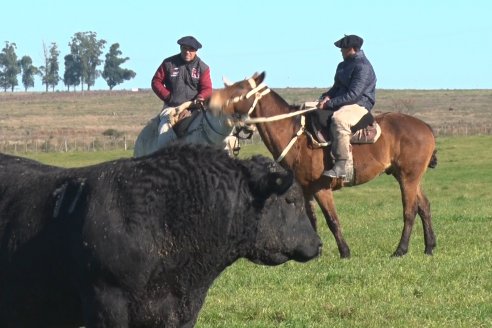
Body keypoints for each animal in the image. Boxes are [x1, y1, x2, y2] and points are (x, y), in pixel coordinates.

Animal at [209, 72, 438, 258]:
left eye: (240, 91)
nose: (216, 106)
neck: (294, 134)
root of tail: (425, 127)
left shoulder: (321, 189)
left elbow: (332, 220)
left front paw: (344, 252)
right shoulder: (306, 189)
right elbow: (312, 220)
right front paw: (315, 252)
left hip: (407, 178)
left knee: (410, 211)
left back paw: (400, 250)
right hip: (408, 177)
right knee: (424, 207)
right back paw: (429, 247)